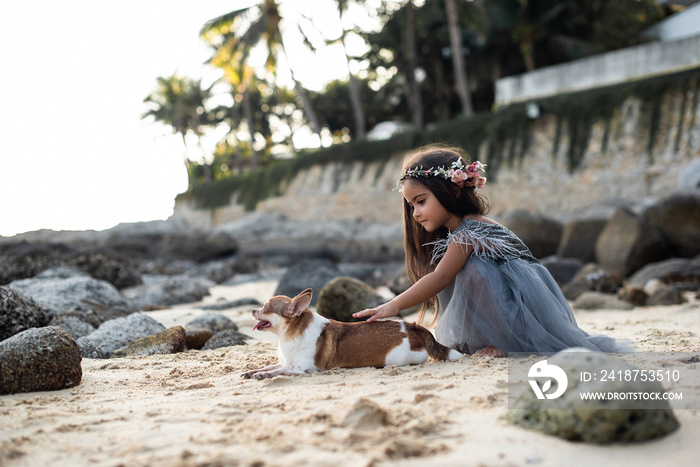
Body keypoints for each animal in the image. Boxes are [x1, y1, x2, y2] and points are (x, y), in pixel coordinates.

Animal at [243, 288, 462, 380]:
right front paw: (253, 371)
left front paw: (263, 375)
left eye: (265, 308)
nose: (252, 310)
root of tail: (412, 326)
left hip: (397, 359)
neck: (287, 335)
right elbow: (272, 366)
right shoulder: (286, 361)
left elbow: (279, 371)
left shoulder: (302, 368)